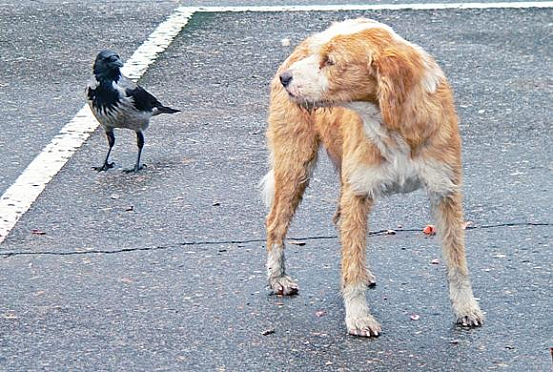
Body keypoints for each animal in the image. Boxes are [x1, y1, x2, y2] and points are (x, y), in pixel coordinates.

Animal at [260, 18, 480, 338]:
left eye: (330, 61)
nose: (284, 78)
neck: (393, 122)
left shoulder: (445, 192)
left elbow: (457, 262)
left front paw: (466, 308)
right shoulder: (358, 193)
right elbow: (351, 262)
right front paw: (358, 317)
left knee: (340, 223)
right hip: (296, 164)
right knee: (276, 224)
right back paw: (278, 278)